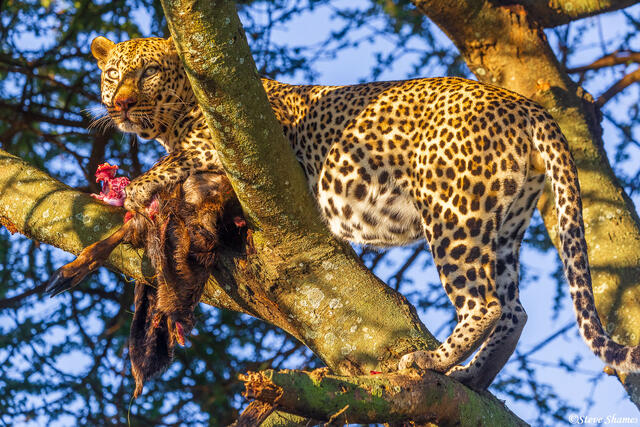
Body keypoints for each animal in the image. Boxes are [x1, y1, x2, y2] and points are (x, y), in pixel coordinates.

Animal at [90, 35, 640, 390]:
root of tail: (525, 104)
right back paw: (473, 376)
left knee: (484, 303)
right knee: (514, 309)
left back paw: (432, 361)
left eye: (148, 72)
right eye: (113, 75)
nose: (120, 104)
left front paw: (136, 187)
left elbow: (181, 156)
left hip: (452, 211)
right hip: (502, 222)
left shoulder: (233, 136)